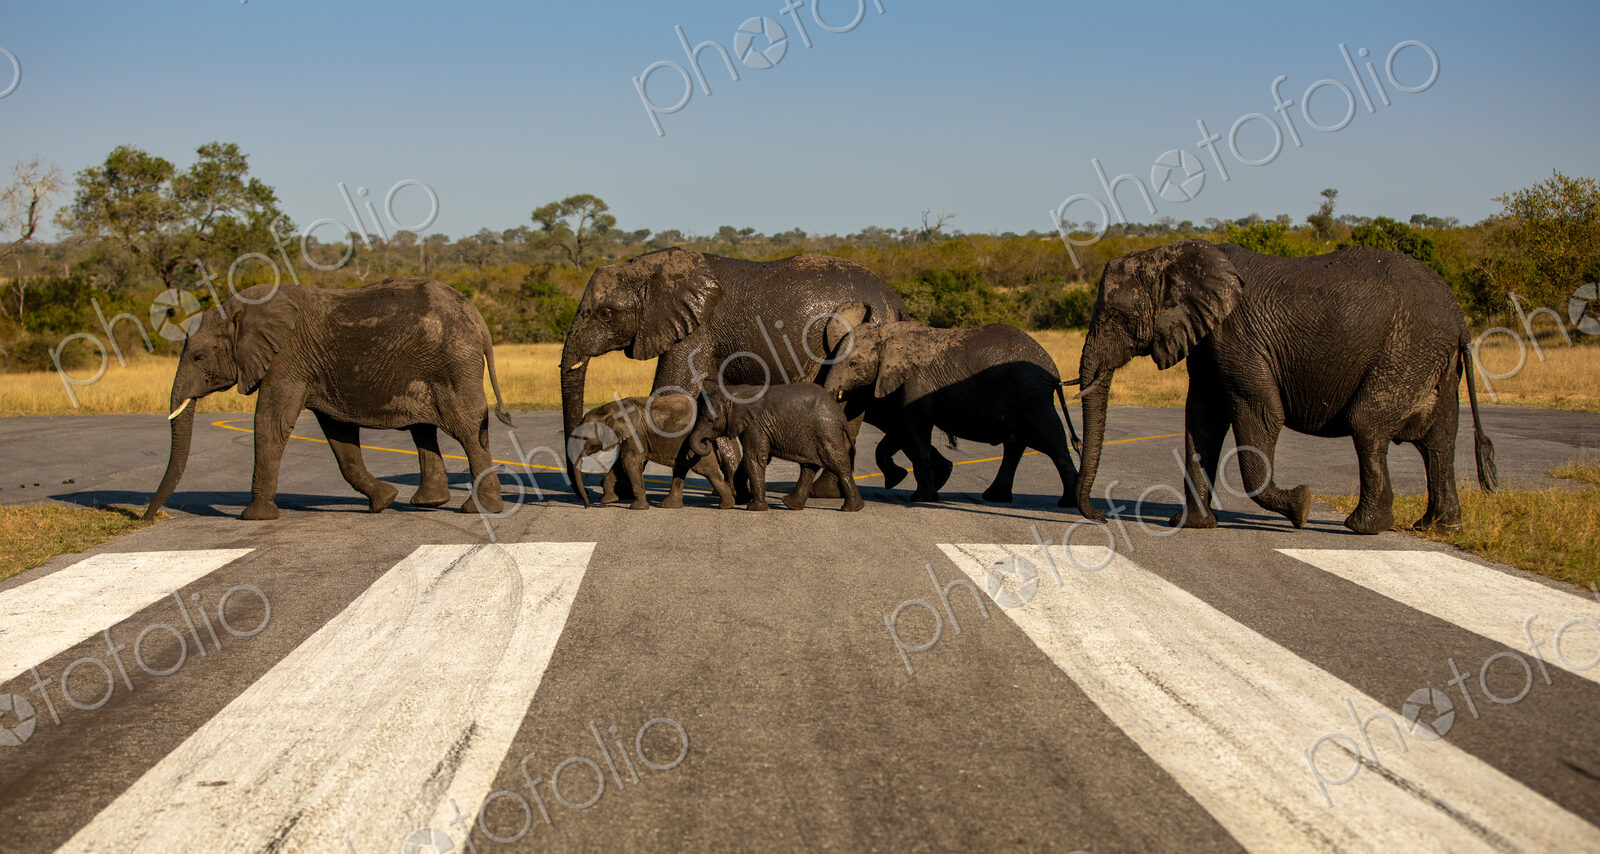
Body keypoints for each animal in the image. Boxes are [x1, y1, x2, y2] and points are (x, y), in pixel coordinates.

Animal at [143, 277, 512, 521]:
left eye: (198, 357)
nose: (146, 517)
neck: (239, 308)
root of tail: (478, 318)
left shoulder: (286, 359)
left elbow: (271, 423)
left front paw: (255, 517)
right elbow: (339, 435)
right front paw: (383, 501)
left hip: (452, 363)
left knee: (466, 429)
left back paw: (478, 510)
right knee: (424, 429)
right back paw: (426, 503)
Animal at [573, 393, 736, 509]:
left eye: (584, 437)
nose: (587, 506)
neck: (609, 409)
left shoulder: (636, 432)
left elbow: (630, 461)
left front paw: (637, 508)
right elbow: (621, 462)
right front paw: (608, 500)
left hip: (695, 446)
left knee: (708, 471)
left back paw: (726, 505)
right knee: (680, 469)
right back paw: (670, 506)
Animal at [686, 383, 863, 512]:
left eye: (710, 420)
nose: (707, 442)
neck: (738, 393)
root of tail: (840, 416)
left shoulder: (755, 425)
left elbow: (755, 458)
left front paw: (754, 508)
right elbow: (751, 459)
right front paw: (741, 499)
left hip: (825, 430)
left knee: (837, 463)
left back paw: (851, 509)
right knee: (809, 466)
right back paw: (791, 505)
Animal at [822, 321, 1082, 506]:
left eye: (853, 364)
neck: (886, 333)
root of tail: (1053, 369)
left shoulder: (918, 382)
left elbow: (914, 431)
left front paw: (921, 498)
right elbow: (901, 430)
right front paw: (898, 479)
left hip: (1031, 394)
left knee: (1051, 441)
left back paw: (1068, 501)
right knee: (1016, 444)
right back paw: (995, 497)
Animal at [1073, 240, 1496, 534]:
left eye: (1116, 317)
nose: (1102, 516)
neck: (1172, 255)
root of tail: (1459, 318)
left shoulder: (1238, 336)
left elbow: (1261, 413)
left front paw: (1302, 507)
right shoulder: (1209, 340)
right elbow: (1202, 420)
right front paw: (1190, 524)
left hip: (1406, 350)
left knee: (1369, 424)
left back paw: (1363, 527)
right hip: (1432, 360)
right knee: (1439, 440)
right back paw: (1438, 528)